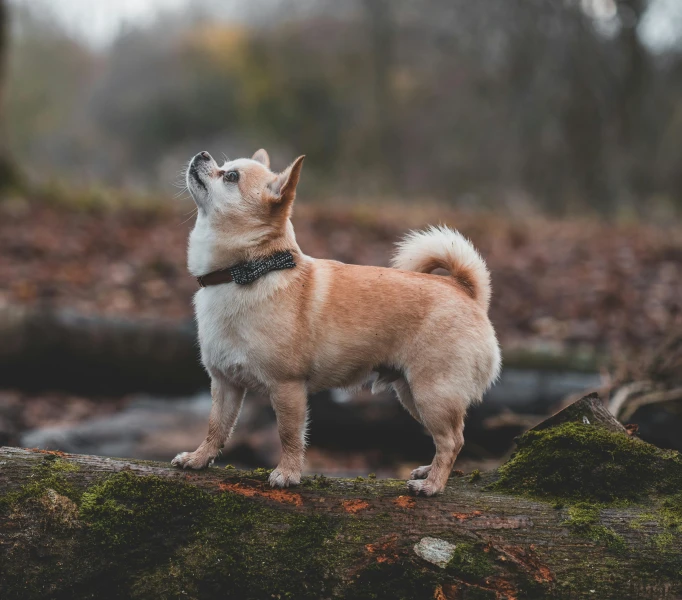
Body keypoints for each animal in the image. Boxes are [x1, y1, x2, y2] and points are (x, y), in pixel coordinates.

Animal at [170, 148, 500, 494]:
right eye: (224, 167)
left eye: (231, 176)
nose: (203, 154)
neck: (246, 272)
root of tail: (466, 291)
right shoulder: (225, 384)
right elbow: (216, 426)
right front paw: (199, 458)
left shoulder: (287, 388)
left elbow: (289, 435)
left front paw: (287, 474)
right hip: (411, 393)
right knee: (445, 438)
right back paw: (427, 471)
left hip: (433, 394)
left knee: (452, 440)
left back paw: (433, 485)